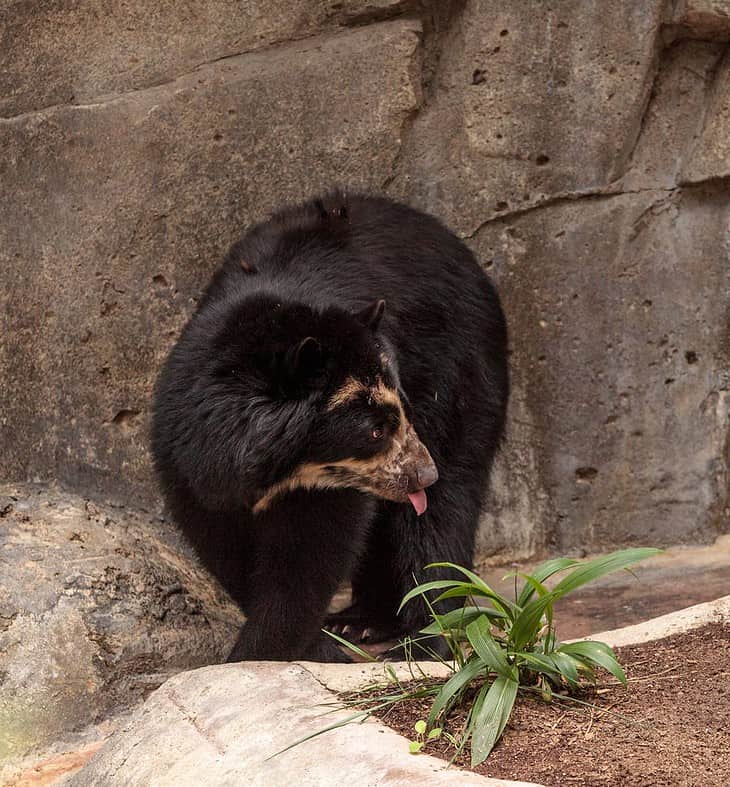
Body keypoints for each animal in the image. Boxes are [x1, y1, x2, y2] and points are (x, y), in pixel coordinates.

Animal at [151, 191, 508, 663]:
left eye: (403, 415)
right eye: (375, 431)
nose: (423, 473)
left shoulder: (331, 483)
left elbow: (308, 556)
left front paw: (265, 651)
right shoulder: (187, 460)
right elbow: (227, 549)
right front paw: (314, 644)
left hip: (460, 369)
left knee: (443, 509)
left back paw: (424, 636)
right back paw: (361, 619)